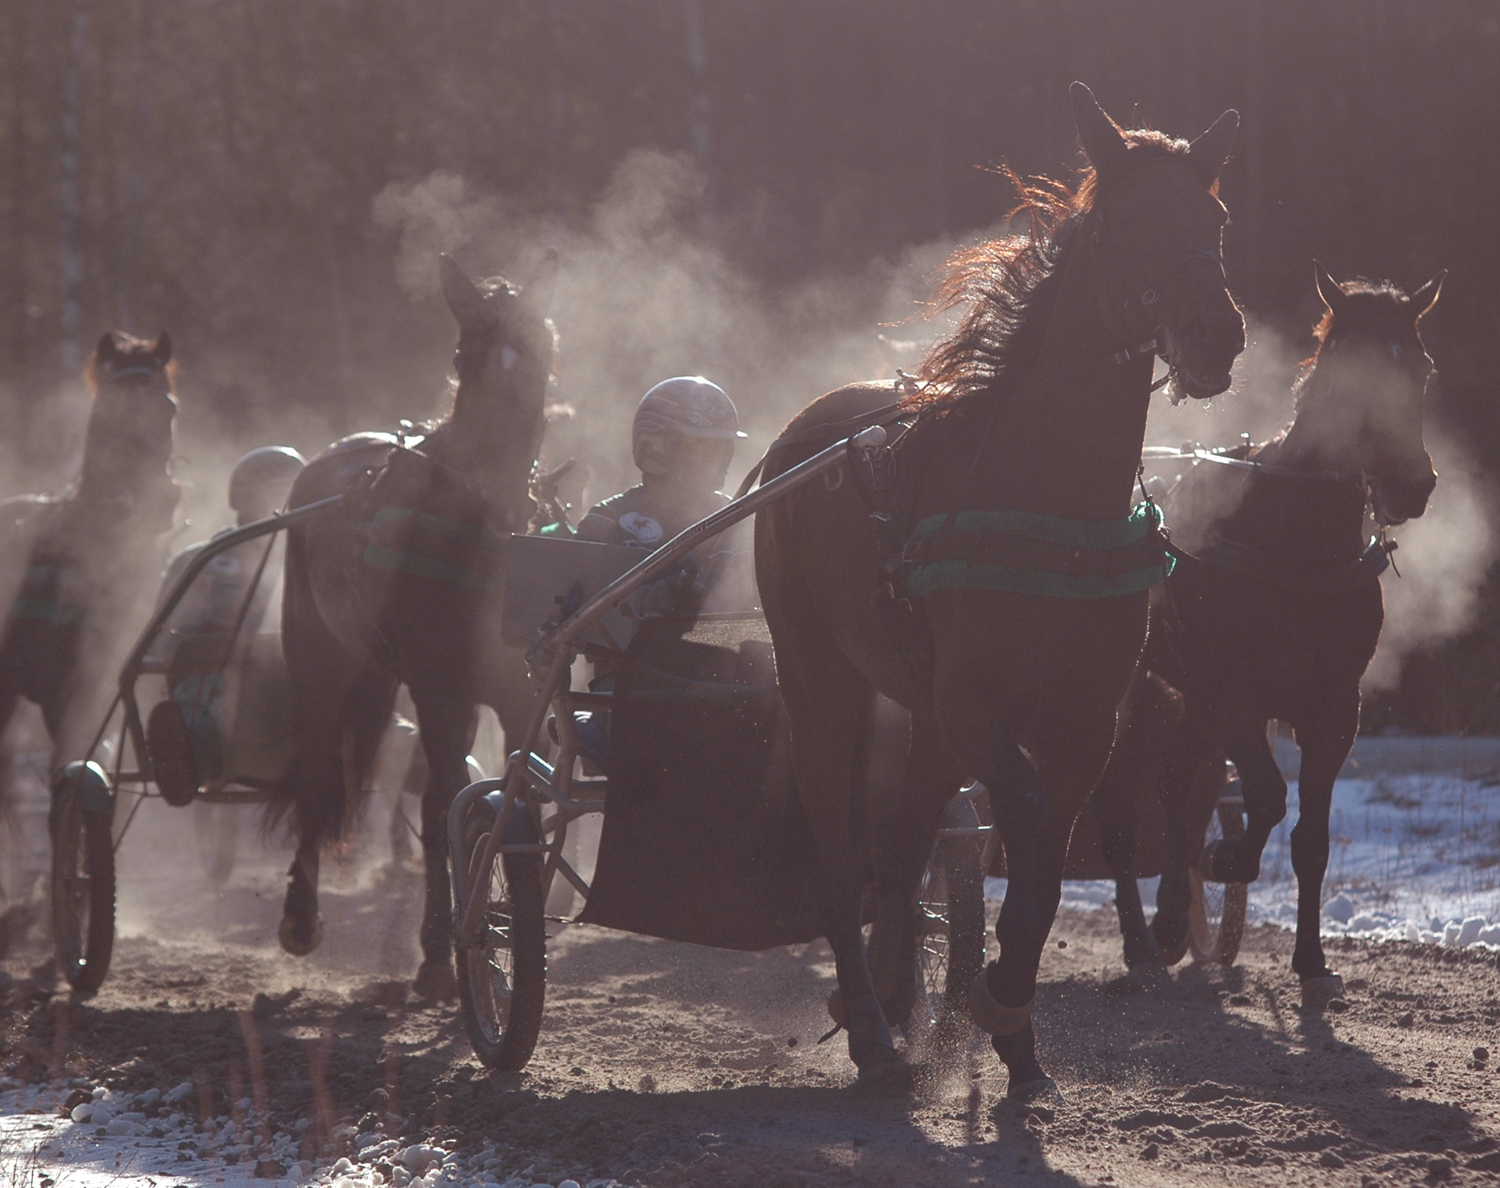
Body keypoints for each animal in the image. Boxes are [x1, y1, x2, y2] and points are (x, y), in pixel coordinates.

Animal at [277, 253, 558, 996]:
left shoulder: (515, 695)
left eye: (544, 360)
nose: (502, 495)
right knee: (320, 770)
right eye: (465, 357)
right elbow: (445, 807)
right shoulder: (440, 690)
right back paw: (301, 915)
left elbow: (511, 801)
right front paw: (442, 948)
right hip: (320, 660)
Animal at [756, 83, 1248, 1098]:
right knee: (839, 848)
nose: (1215, 332)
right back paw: (873, 1027)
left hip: (920, 713)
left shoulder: (1091, 719)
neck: (1049, 502)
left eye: (1214, 219)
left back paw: (893, 1000)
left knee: (903, 842)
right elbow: (1020, 818)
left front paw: (1012, 1026)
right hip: (816, 669)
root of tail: (802, 433)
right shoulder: (972, 704)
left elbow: (1048, 861)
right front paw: (987, 999)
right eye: (1132, 219)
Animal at [1104, 264, 1440, 996]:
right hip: (1132, 696)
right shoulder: (1236, 698)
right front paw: (1228, 859)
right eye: (1349, 371)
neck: (1297, 544)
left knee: (1179, 789)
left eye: (1421, 368)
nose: (1410, 486)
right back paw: (1143, 939)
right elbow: (1266, 796)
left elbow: (1309, 836)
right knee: (1122, 807)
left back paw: (1170, 916)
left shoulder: (1334, 709)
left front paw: (1311, 959)